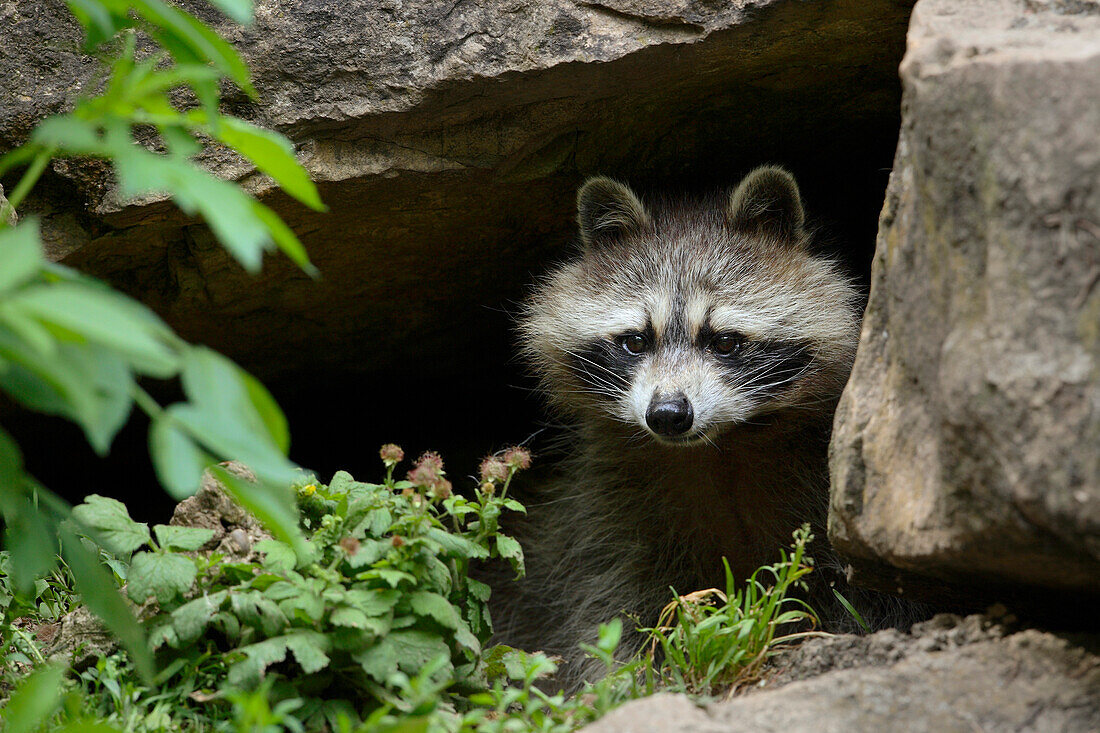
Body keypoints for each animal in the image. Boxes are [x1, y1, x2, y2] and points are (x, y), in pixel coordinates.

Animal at [492, 165, 910, 686]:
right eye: (635, 341)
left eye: (725, 341)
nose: (668, 415)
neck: (718, 448)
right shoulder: (600, 504)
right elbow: (604, 598)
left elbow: (862, 593)